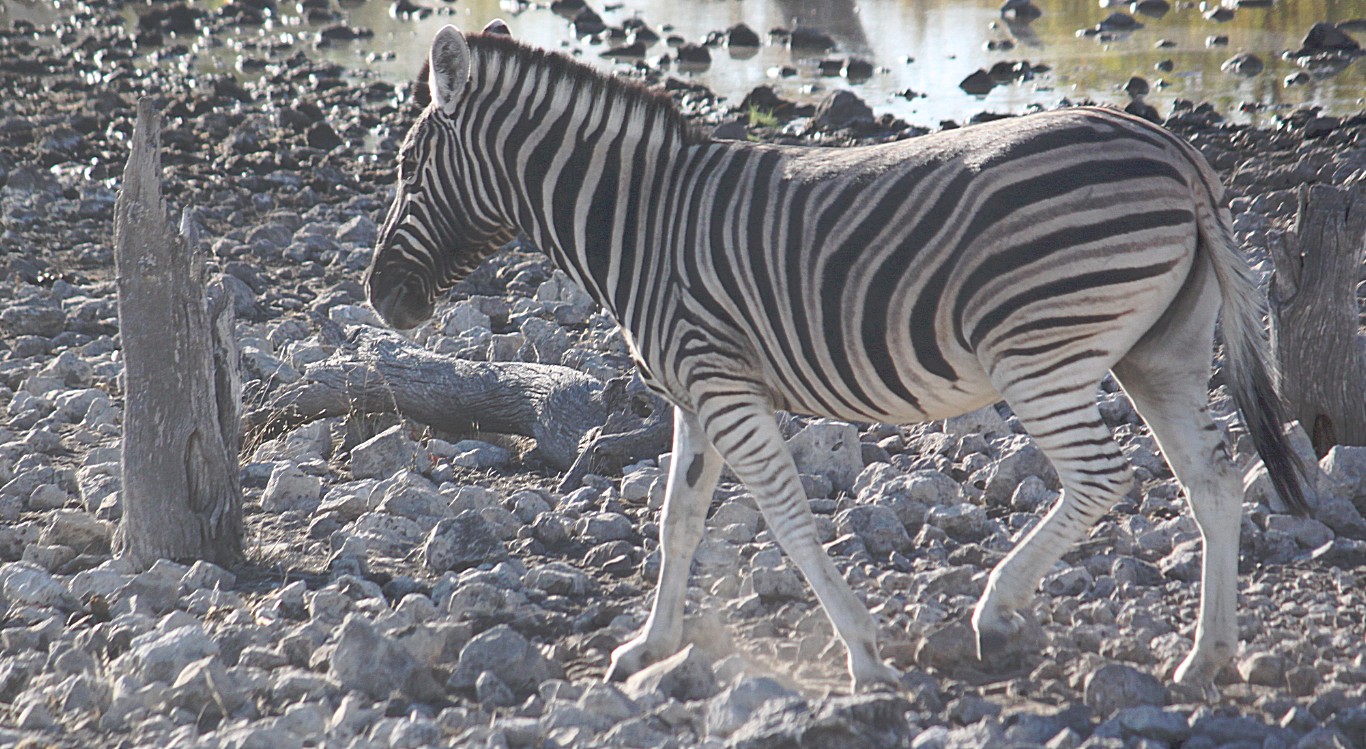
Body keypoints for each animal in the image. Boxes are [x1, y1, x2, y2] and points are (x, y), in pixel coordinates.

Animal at [368, 23, 1305, 697]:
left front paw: (861, 651)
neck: (644, 221)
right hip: (1162, 353)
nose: (377, 298)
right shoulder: (695, 394)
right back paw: (1207, 656)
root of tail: (1178, 155)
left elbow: (786, 516)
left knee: (1102, 477)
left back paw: (1000, 610)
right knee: (1214, 481)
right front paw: (649, 646)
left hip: (1040, 352)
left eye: (409, 169)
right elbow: (677, 521)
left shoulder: (723, 386)